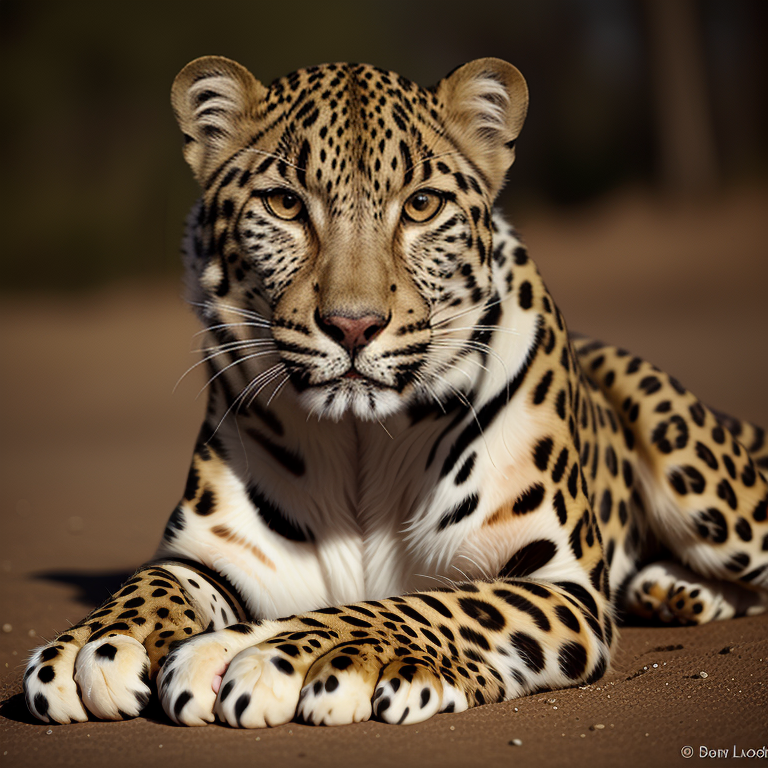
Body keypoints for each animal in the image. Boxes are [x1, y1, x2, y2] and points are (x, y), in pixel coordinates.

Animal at [24, 56, 768, 728]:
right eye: (285, 204)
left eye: (421, 205)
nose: (354, 325)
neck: (360, 446)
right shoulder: (209, 558)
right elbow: (150, 582)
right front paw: (94, 646)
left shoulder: (561, 586)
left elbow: (425, 604)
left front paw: (268, 651)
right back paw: (670, 591)